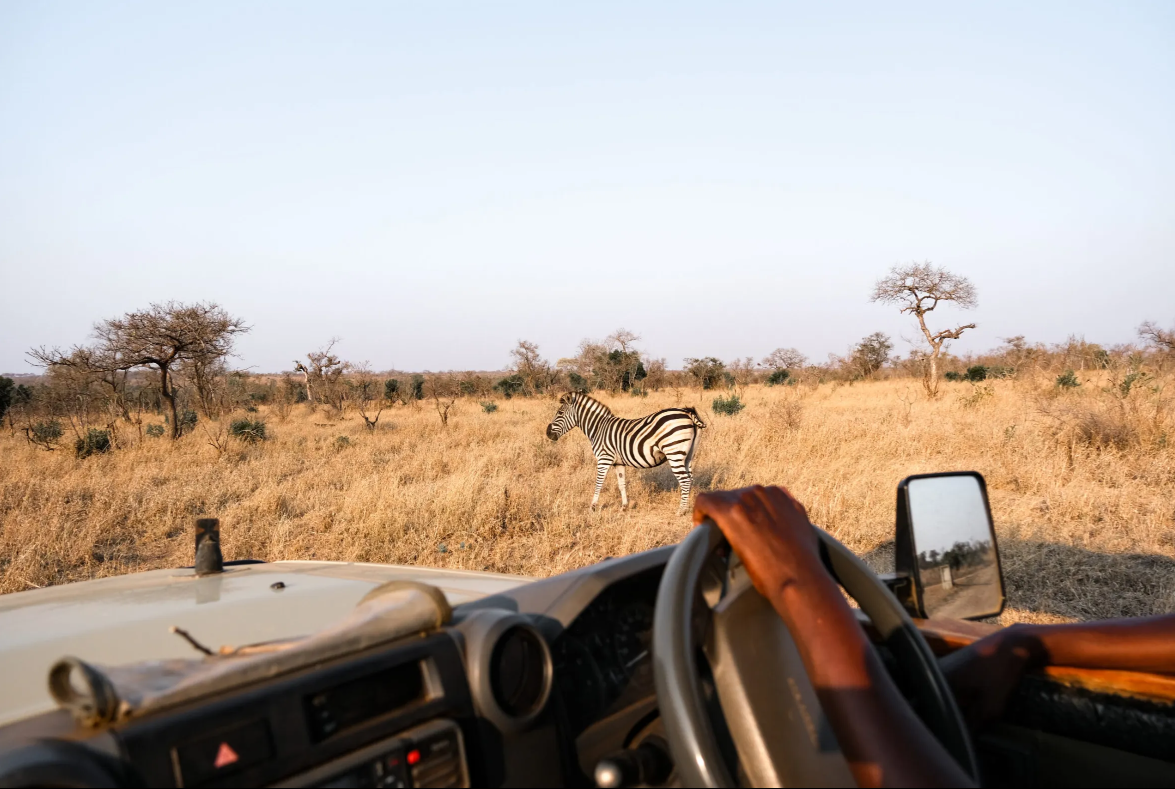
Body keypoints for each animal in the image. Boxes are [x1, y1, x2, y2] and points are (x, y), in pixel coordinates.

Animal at [545, 392, 707, 515]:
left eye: (560, 413)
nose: (548, 434)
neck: (598, 428)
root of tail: (686, 412)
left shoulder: (604, 458)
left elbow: (598, 483)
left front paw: (592, 507)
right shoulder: (618, 462)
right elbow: (621, 484)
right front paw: (624, 507)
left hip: (674, 452)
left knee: (685, 480)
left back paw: (681, 510)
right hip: (688, 455)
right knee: (690, 478)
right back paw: (690, 508)